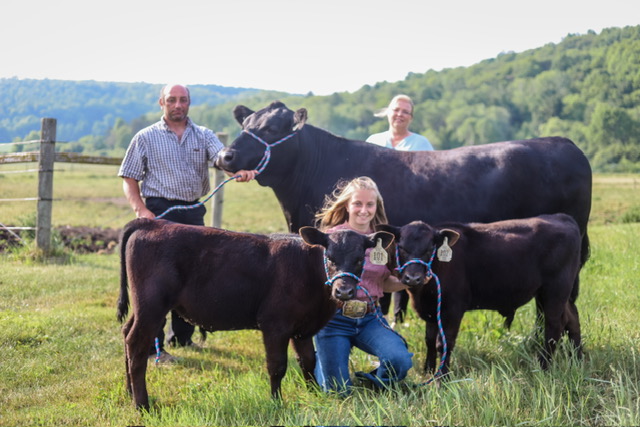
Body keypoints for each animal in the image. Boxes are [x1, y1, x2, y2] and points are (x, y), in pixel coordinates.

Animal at [116, 218, 394, 410]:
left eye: (359, 259)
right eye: (330, 256)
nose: (344, 291)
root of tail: (153, 222)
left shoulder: (303, 328)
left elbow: (308, 361)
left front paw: (314, 394)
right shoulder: (275, 324)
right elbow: (277, 366)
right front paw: (276, 402)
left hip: (143, 309)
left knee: (127, 335)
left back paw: (130, 393)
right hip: (152, 307)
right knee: (137, 344)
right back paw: (142, 404)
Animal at [377, 213, 583, 377]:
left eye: (429, 249)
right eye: (402, 247)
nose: (413, 278)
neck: (423, 294)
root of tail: (561, 217)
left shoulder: (453, 309)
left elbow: (443, 344)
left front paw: (441, 378)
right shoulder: (431, 310)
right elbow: (429, 340)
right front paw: (428, 371)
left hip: (555, 290)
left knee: (554, 326)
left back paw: (544, 366)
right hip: (555, 293)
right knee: (572, 319)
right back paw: (578, 359)